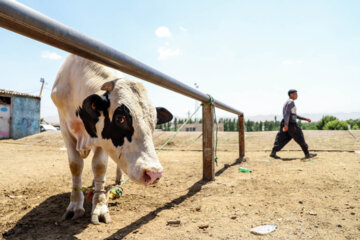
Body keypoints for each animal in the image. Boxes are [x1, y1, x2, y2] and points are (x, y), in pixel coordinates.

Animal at [51, 54, 173, 225]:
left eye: (154, 122)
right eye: (120, 118)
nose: (154, 174)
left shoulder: (102, 141)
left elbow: (99, 166)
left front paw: (99, 206)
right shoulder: (64, 128)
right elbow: (75, 166)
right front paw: (75, 205)